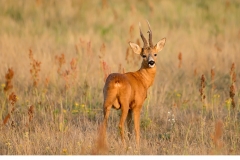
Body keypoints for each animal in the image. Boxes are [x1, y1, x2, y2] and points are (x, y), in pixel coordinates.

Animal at [102, 21, 166, 150]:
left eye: (155, 54)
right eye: (143, 55)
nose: (151, 62)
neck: (142, 79)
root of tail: (116, 82)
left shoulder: (131, 108)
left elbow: (130, 128)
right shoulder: (137, 106)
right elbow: (136, 128)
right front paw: (137, 146)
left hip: (107, 104)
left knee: (104, 124)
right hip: (124, 105)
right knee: (120, 125)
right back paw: (124, 146)